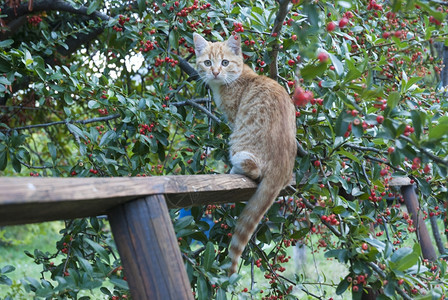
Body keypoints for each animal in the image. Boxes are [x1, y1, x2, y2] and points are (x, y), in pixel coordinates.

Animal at [193, 32, 296, 274]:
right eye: (208, 63)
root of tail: (281, 171)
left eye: (224, 62)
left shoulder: (233, 119)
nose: (215, 72)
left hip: (240, 149)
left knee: (255, 171)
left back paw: (235, 169)